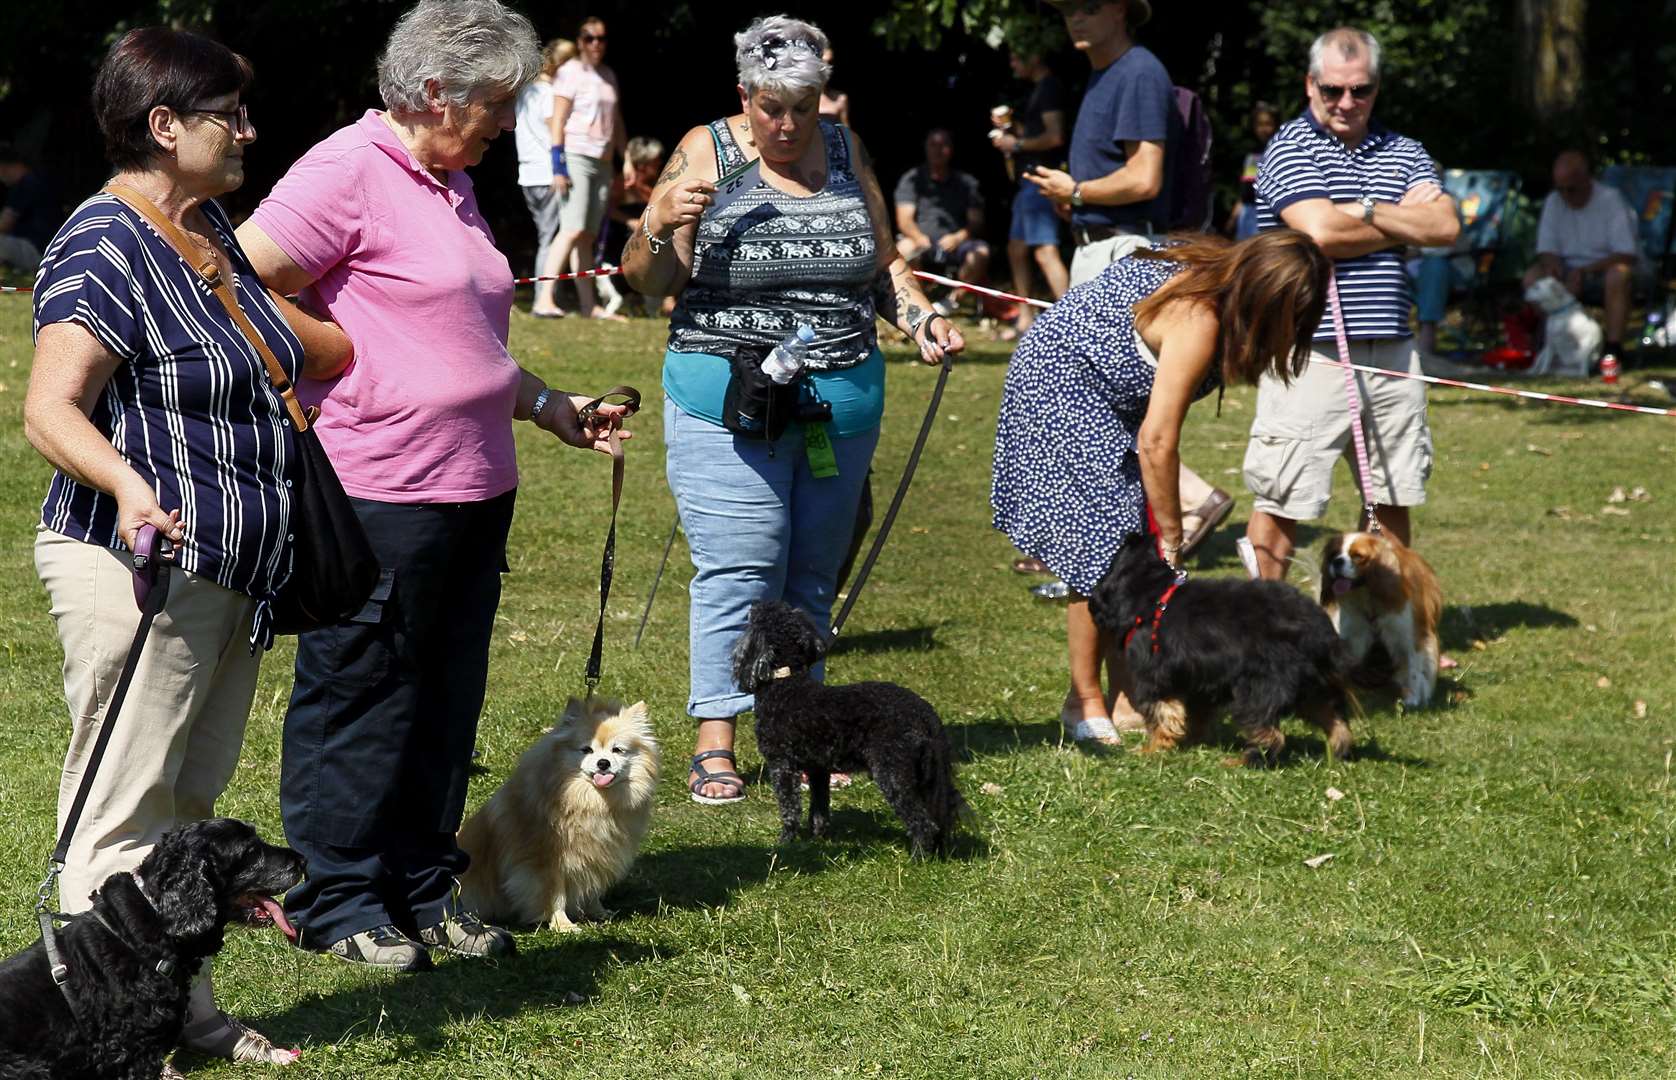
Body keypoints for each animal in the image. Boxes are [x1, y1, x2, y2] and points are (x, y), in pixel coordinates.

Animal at [737, 600, 972, 858]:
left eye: (756, 616)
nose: (754, 603)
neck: (787, 682)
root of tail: (926, 714)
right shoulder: (819, 769)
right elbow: (819, 811)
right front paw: (817, 840)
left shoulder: (782, 766)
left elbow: (790, 810)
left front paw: (785, 844)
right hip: (924, 775)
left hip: (892, 772)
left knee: (924, 823)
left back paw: (917, 859)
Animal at [1092, 536, 1354, 764]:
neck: (1153, 593)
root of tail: (1316, 626)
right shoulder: (1199, 682)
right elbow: (1195, 715)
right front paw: (1193, 741)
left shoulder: (1154, 677)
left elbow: (1162, 715)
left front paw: (1151, 749)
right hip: (1312, 684)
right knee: (1334, 718)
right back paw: (1336, 752)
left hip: (1258, 687)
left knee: (1271, 733)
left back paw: (1243, 761)